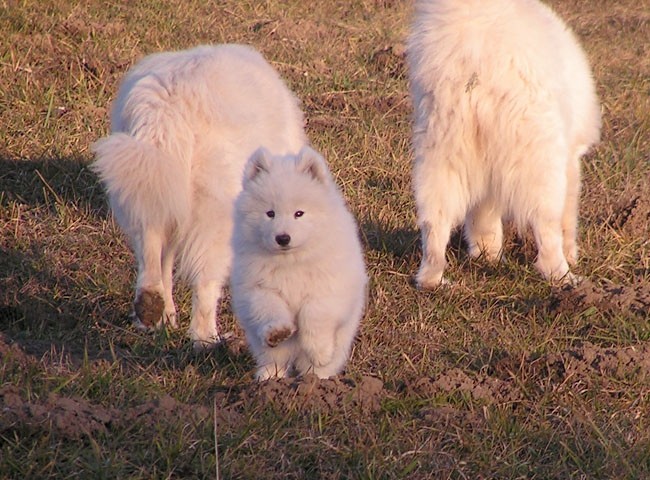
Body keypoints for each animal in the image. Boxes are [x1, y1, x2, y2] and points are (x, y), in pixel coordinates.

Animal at [91, 43, 306, 346]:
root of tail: (166, 111)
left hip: (146, 188)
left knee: (152, 253)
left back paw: (153, 311)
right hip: (213, 212)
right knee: (205, 282)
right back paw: (206, 340)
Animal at [230, 146, 368, 378]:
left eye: (299, 213)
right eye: (270, 213)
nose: (283, 238)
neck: (291, 261)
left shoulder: (328, 289)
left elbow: (313, 315)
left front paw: (319, 352)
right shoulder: (257, 288)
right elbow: (270, 308)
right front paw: (277, 332)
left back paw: (316, 378)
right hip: (264, 347)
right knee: (274, 359)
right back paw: (269, 378)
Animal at [408, 0, 600, 286]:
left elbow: (483, 218)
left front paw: (487, 256)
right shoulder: (571, 160)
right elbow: (568, 217)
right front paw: (571, 254)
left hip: (440, 156)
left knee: (434, 223)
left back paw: (432, 280)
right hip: (539, 163)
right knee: (547, 227)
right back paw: (564, 277)